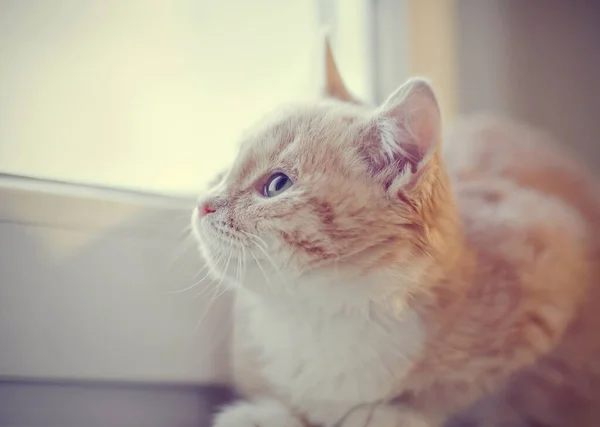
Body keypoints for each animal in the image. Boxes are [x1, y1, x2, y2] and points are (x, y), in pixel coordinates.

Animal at [191, 41, 600, 427]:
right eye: (226, 169)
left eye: (276, 184)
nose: (203, 203)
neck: (326, 314)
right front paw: (268, 413)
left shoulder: (553, 271)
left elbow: (471, 389)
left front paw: (394, 411)